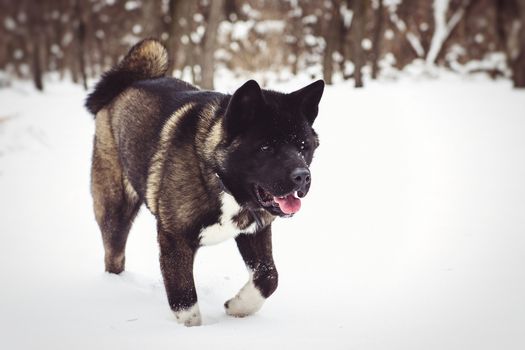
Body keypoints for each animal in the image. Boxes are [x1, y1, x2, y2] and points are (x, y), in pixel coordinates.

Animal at [85, 39, 324, 326]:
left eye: (303, 147)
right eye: (266, 147)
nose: (302, 176)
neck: (218, 178)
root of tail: (128, 83)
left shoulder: (255, 231)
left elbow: (268, 276)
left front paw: (239, 306)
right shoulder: (174, 240)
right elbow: (185, 301)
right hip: (115, 210)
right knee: (114, 255)